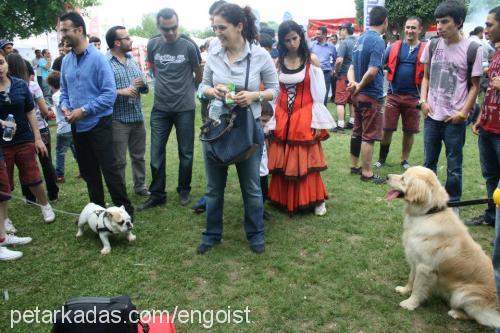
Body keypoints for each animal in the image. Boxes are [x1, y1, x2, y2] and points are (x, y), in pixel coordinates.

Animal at [386, 165, 500, 326]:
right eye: (403, 174)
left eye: (403, 179)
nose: (386, 177)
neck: (429, 214)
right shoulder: (415, 259)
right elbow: (411, 278)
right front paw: (404, 290)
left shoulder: (425, 267)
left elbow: (418, 287)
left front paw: (410, 303)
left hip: (462, 294)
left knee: (479, 319)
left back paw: (456, 313)